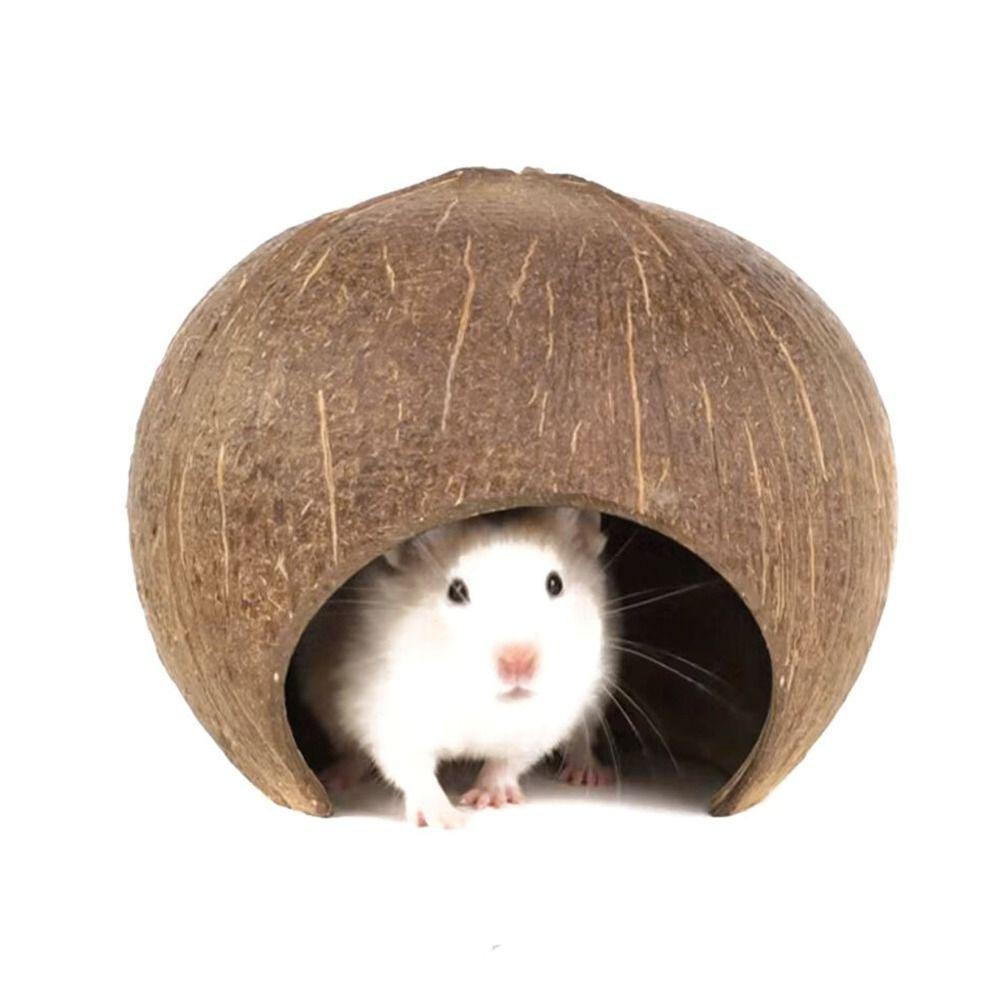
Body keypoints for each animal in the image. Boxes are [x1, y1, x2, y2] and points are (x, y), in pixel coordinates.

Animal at [293, 507, 617, 828]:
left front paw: (487, 798)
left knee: (582, 740)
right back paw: (334, 779)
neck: (477, 699)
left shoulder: (548, 720)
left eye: (555, 584)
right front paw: (449, 819)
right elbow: (413, 767)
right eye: (456, 591)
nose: (519, 663)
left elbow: (508, 761)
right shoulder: (386, 711)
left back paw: (588, 775)